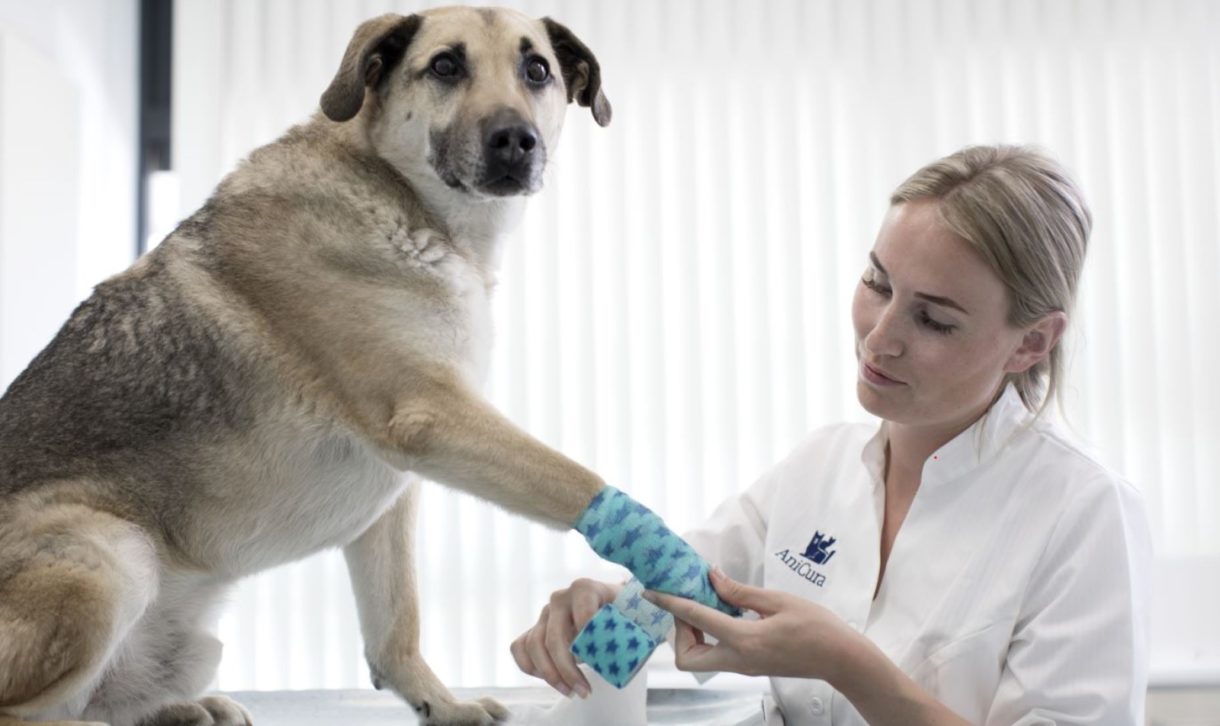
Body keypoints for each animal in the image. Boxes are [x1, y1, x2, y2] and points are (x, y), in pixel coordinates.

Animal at [0, 7, 610, 726]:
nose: (516, 141)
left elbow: (396, 626)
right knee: (31, 711)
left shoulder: (395, 495)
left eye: (536, 69)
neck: (403, 197)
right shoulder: (431, 417)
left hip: (188, 643)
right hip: (110, 557)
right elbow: (576, 479)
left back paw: (184, 709)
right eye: (445, 66)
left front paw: (440, 705)